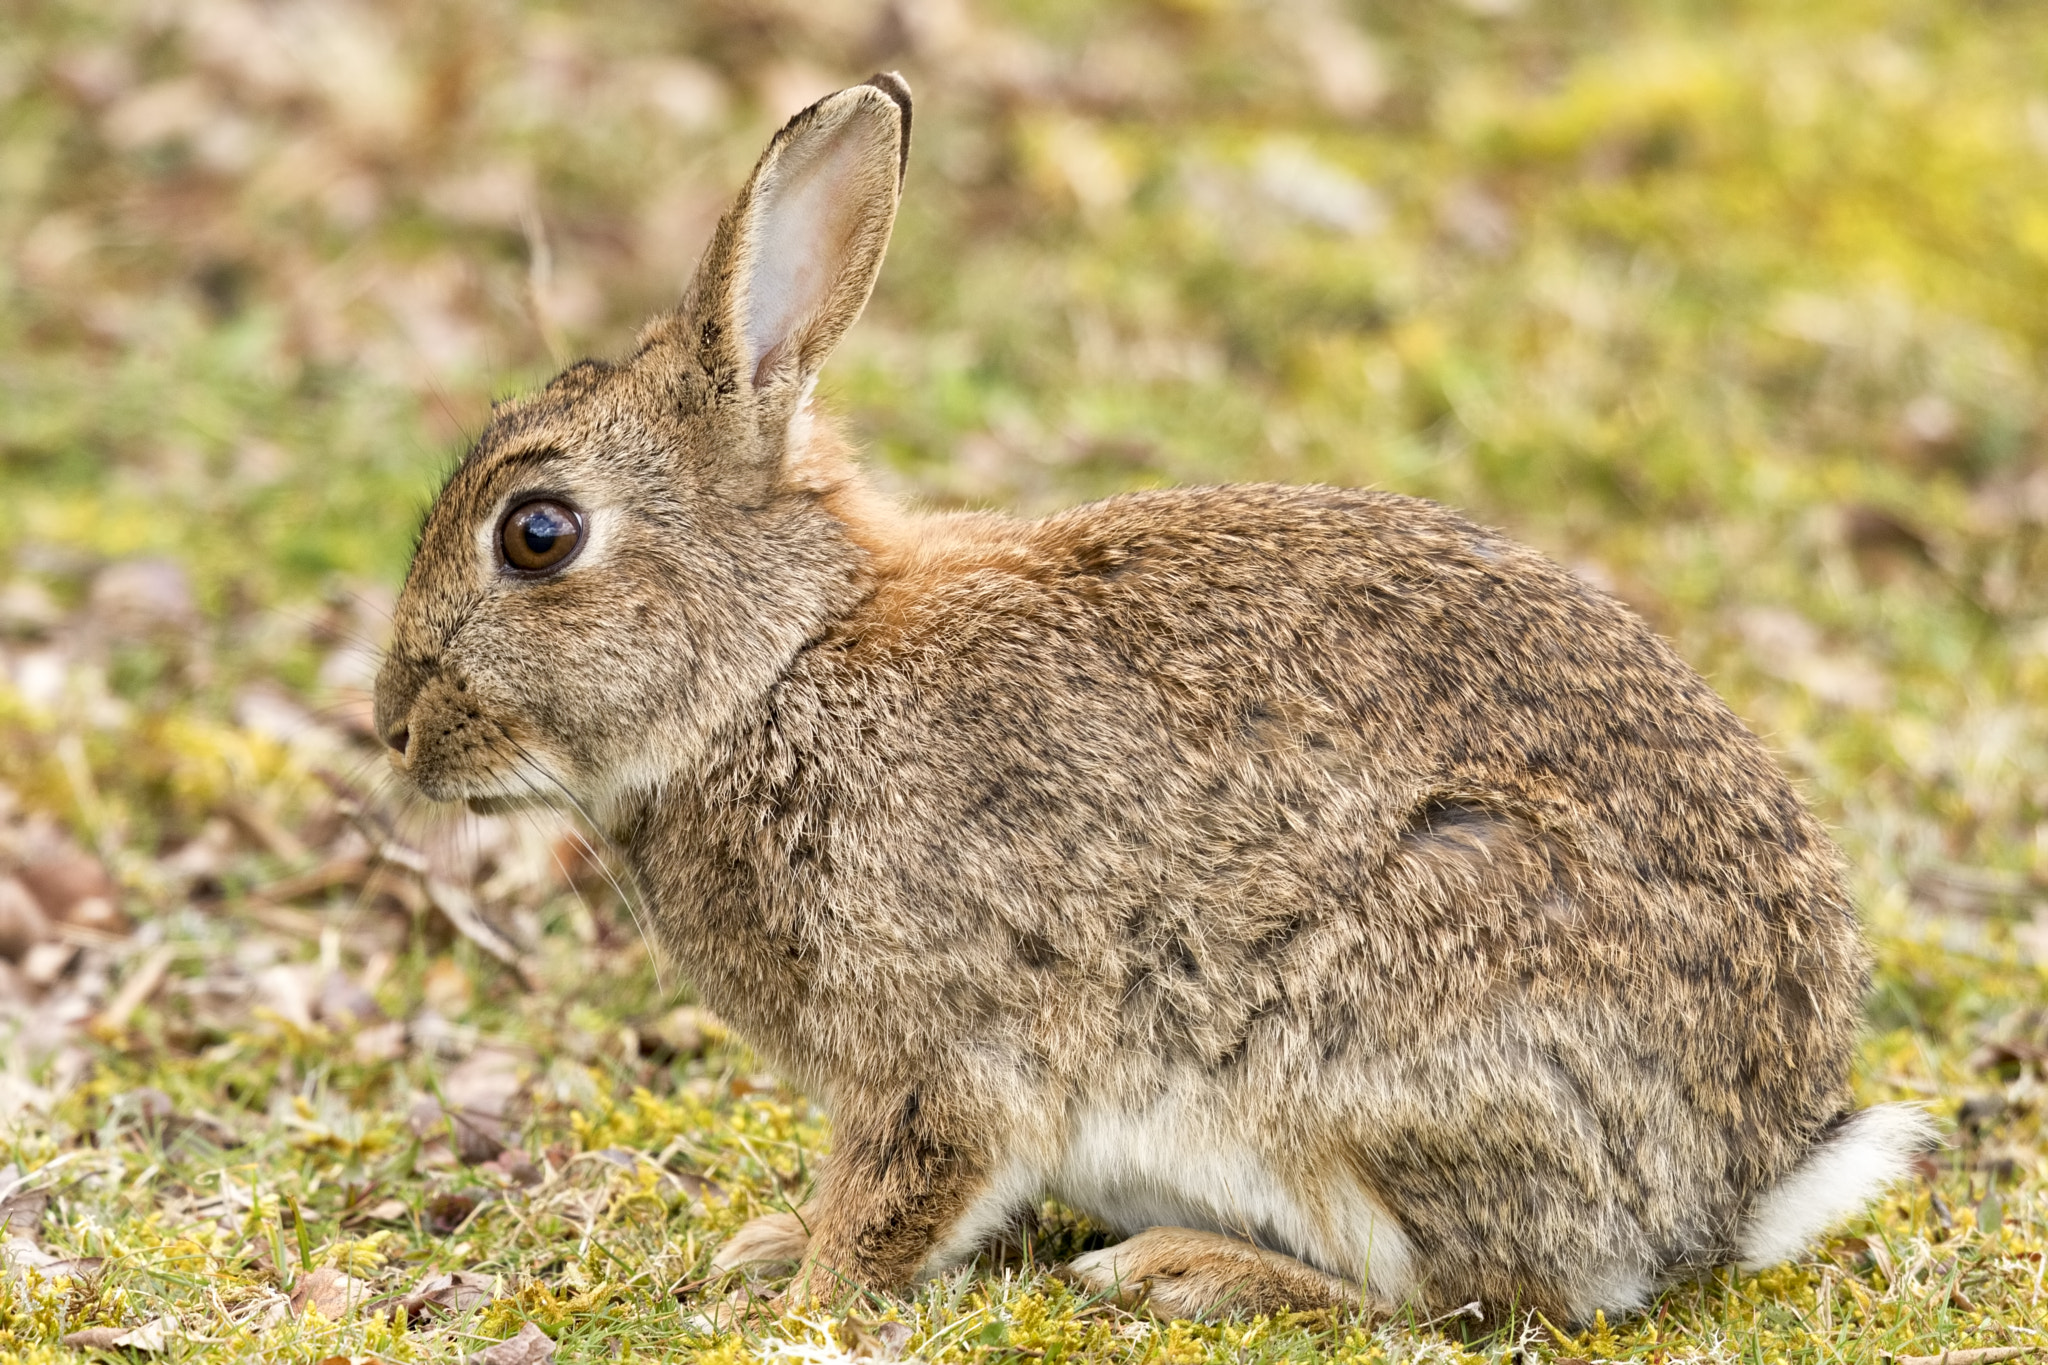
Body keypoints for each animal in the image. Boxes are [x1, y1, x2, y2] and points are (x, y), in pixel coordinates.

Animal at [373, 73, 1938, 1326]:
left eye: (538, 534)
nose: (393, 724)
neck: (780, 663)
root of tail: (1736, 1189)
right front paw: (764, 1248)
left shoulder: (943, 1048)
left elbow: (907, 1186)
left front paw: (797, 1291)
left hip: (1362, 1060)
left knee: (1468, 1297)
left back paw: (1185, 1269)